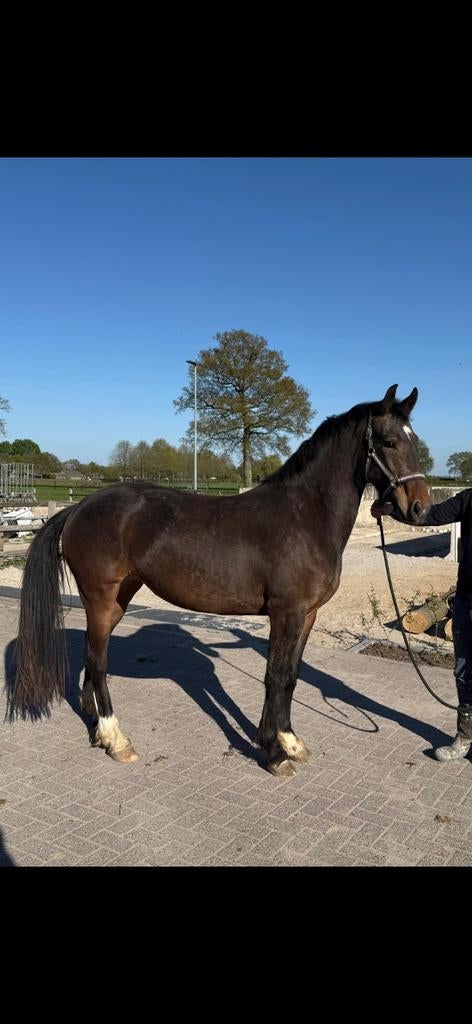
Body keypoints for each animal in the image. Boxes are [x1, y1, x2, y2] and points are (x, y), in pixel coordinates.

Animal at [9, 384, 431, 777]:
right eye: (389, 441)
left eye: (415, 441)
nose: (419, 507)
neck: (303, 516)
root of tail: (80, 506)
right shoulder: (286, 613)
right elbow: (275, 676)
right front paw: (273, 753)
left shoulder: (307, 615)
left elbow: (291, 677)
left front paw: (289, 742)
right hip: (99, 597)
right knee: (98, 661)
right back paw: (116, 739)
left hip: (117, 600)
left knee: (92, 658)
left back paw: (96, 726)